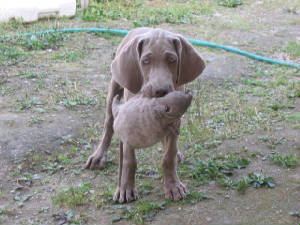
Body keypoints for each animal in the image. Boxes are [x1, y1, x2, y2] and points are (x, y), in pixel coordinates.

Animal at [85, 27, 205, 201]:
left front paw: (173, 186)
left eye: (172, 59)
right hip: (114, 87)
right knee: (108, 125)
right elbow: (129, 160)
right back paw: (99, 156)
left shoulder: (174, 119)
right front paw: (126, 188)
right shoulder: (128, 121)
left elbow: (168, 156)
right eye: (145, 61)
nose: (161, 91)